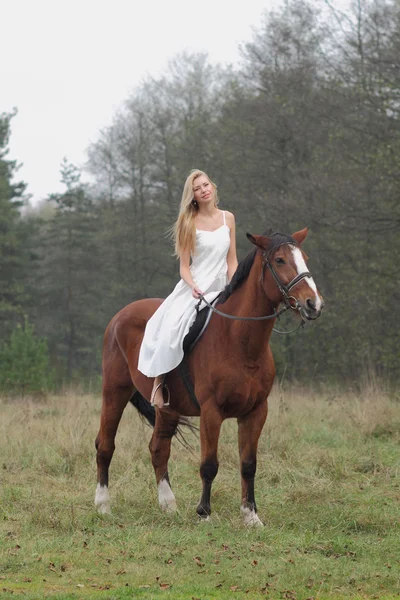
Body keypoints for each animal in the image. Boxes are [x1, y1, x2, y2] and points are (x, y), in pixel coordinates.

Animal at [95, 229, 324, 524]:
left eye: (303, 257)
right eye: (280, 260)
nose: (313, 303)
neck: (240, 342)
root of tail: (119, 317)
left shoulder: (256, 411)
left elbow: (248, 464)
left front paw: (251, 515)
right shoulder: (211, 411)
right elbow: (209, 465)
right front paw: (204, 513)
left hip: (167, 408)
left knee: (158, 448)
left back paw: (168, 504)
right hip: (115, 391)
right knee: (105, 445)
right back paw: (103, 505)